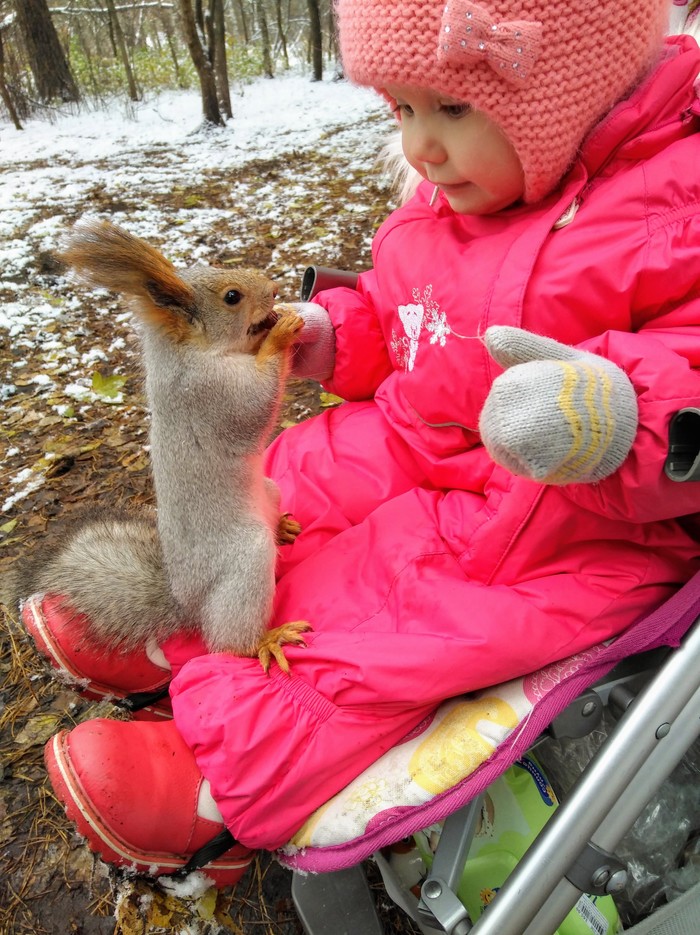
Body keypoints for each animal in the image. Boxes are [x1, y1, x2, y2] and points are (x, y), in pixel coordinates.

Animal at [16, 219, 310, 672]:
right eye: (232, 297)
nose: (275, 289)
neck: (187, 354)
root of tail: (185, 600)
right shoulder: (209, 393)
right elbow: (253, 406)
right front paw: (279, 333)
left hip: (269, 490)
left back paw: (282, 526)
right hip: (244, 562)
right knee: (228, 640)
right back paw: (265, 640)